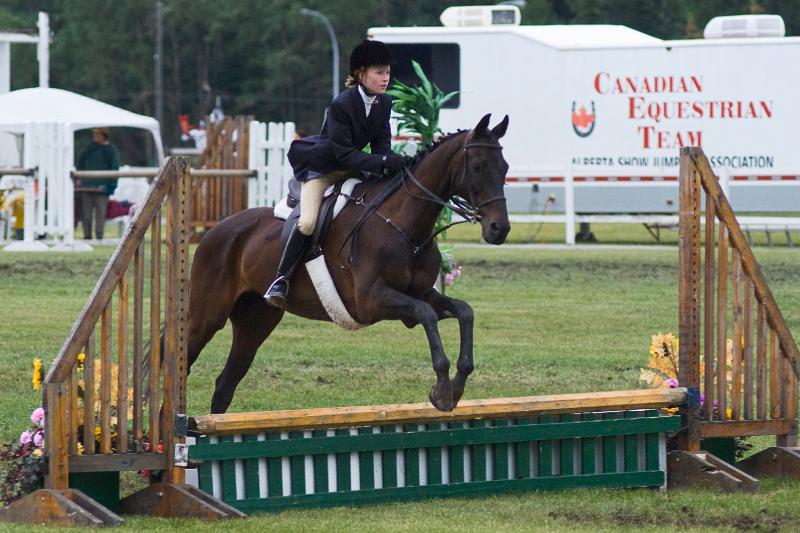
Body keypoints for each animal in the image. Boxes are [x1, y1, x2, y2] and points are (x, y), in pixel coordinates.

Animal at [188, 111, 510, 412]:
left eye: (504, 167)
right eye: (478, 166)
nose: (499, 229)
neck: (405, 227)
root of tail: (215, 229)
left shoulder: (420, 293)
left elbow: (464, 311)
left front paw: (456, 386)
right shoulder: (370, 301)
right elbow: (426, 315)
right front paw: (442, 390)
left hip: (256, 321)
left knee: (225, 384)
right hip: (208, 316)